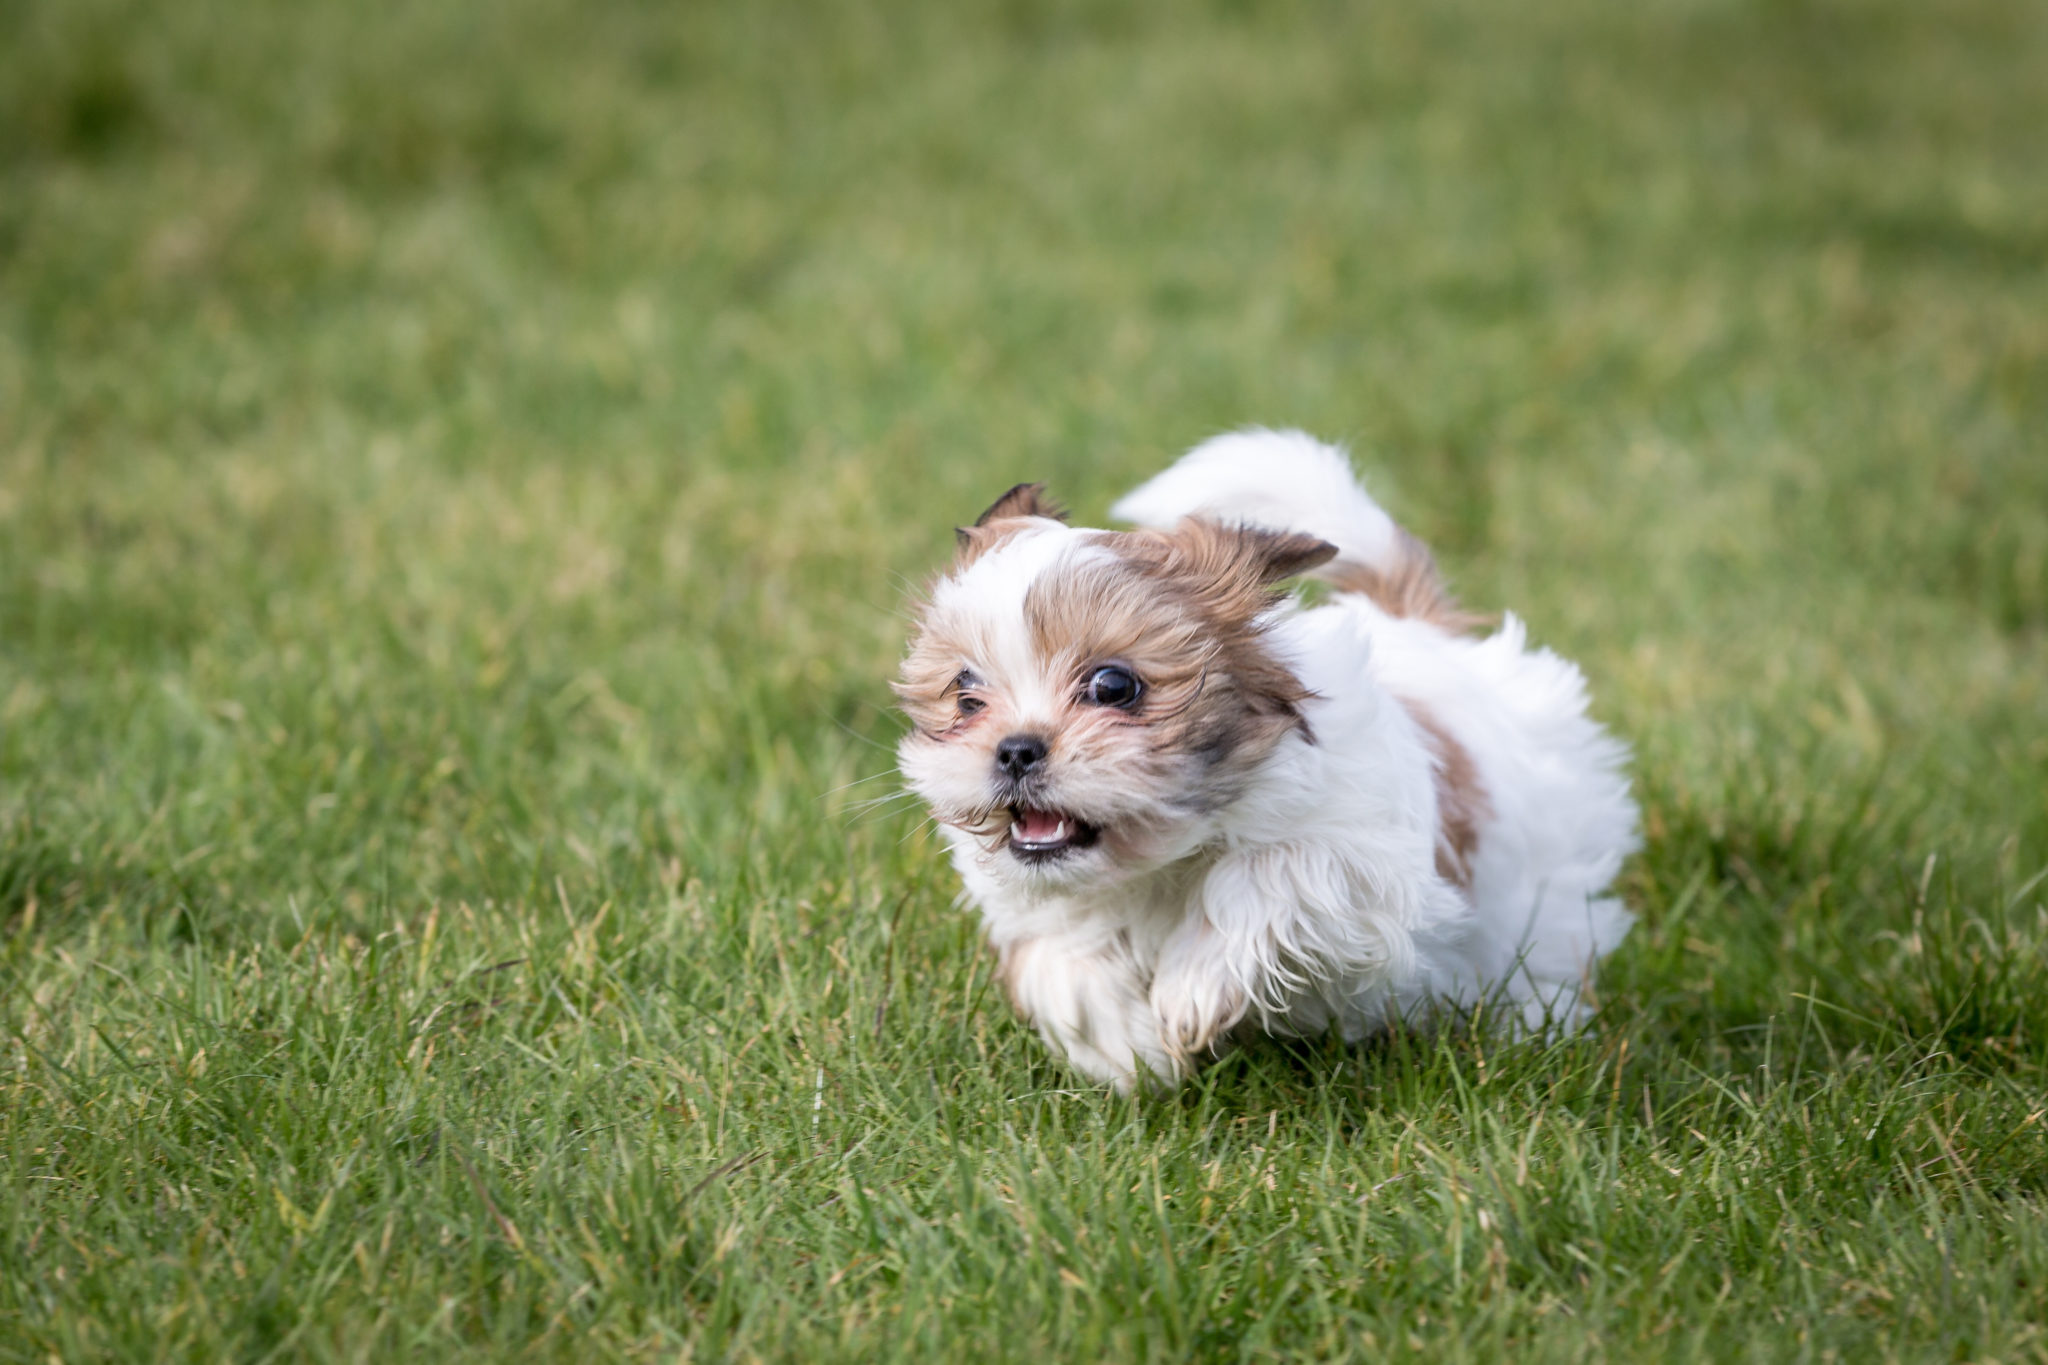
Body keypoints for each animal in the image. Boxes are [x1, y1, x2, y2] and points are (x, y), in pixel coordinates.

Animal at [892, 431, 1630, 1096]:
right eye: (965, 695)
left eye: (1112, 685)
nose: (1015, 748)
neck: (1165, 861)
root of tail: (1419, 628)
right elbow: (1059, 949)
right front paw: (1121, 1043)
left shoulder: (1371, 866)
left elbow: (1274, 869)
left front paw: (1192, 987)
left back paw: (1532, 1027)